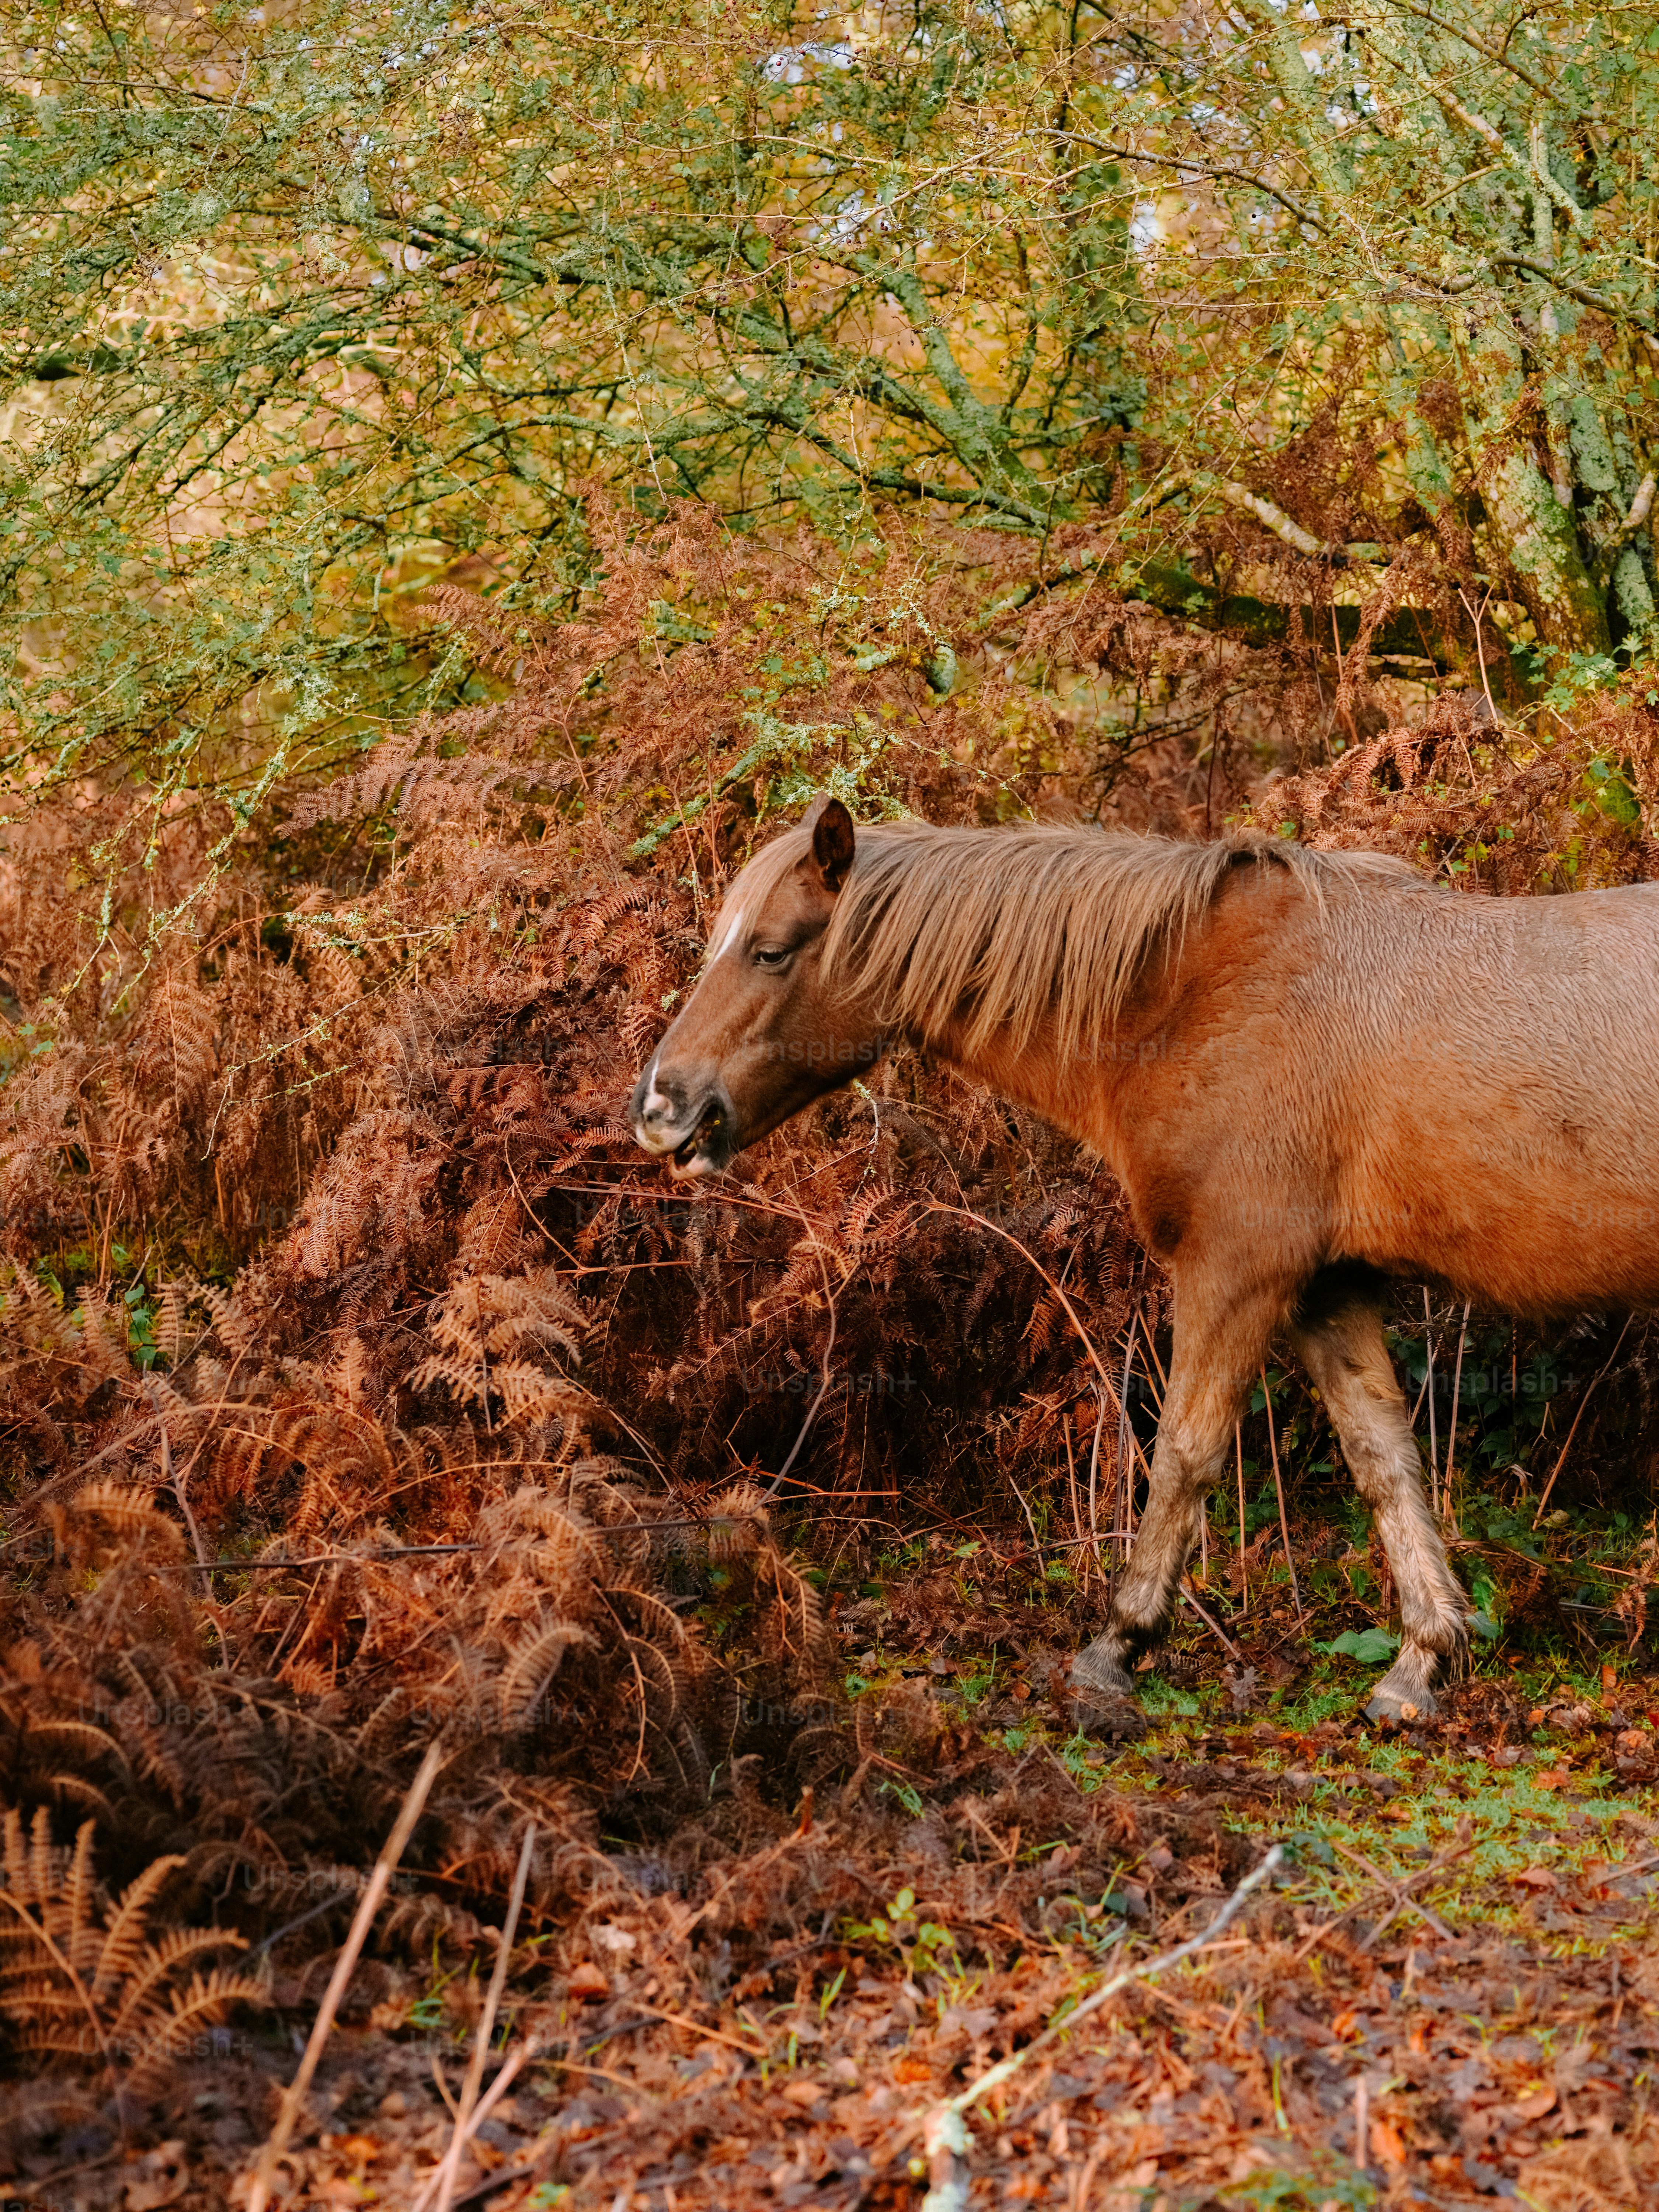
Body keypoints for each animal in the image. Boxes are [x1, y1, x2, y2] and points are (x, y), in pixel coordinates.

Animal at [629, 796, 1659, 1724]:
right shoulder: (1326, 1289)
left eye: (770, 949)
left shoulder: (1236, 1272)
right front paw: (1421, 1662)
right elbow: (1383, 1460)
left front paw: (1116, 1647)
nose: (661, 1106)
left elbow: (1183, 1454)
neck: (1196, 996)